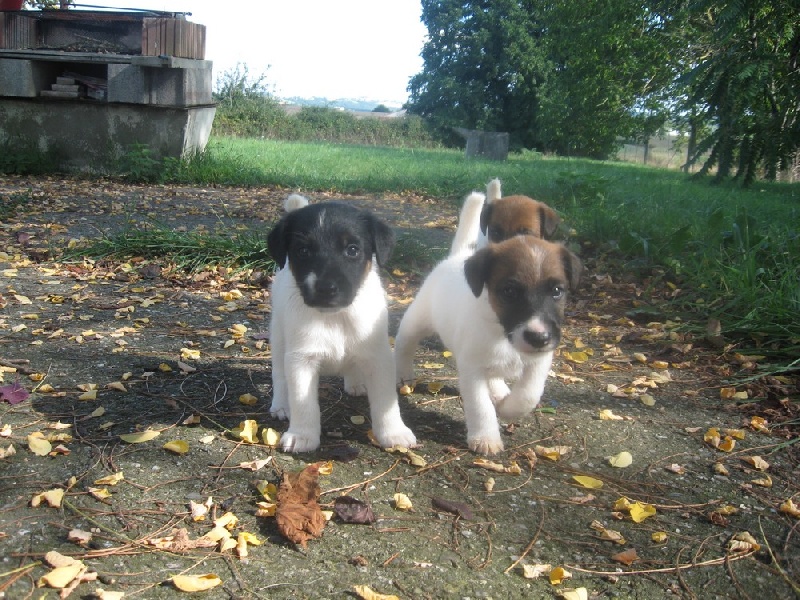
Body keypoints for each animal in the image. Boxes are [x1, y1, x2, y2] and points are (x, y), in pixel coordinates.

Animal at [268, 195, 418, 452]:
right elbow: (303, 402)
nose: (325, 288)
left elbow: (386, 401)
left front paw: (393, 432)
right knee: (279, 375)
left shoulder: (378, 357)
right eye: (303, 251)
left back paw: (356, 383)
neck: (335, 318)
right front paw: (302, 435)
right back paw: (281, 405)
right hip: (278, 338)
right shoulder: (301, 359)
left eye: (352, 250)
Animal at [396, 193, 580, 454]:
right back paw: (403, 375)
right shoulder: (472, 370)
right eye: (509, 291)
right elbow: (480, 406)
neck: (502, 334)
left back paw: (500, 391)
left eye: (557, 291)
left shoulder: (539, 361)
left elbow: (528, 394)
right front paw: (486, 437)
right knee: (404, 345)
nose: (539, 338)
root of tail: (457, 256)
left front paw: (507, 408)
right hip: (416, 323)